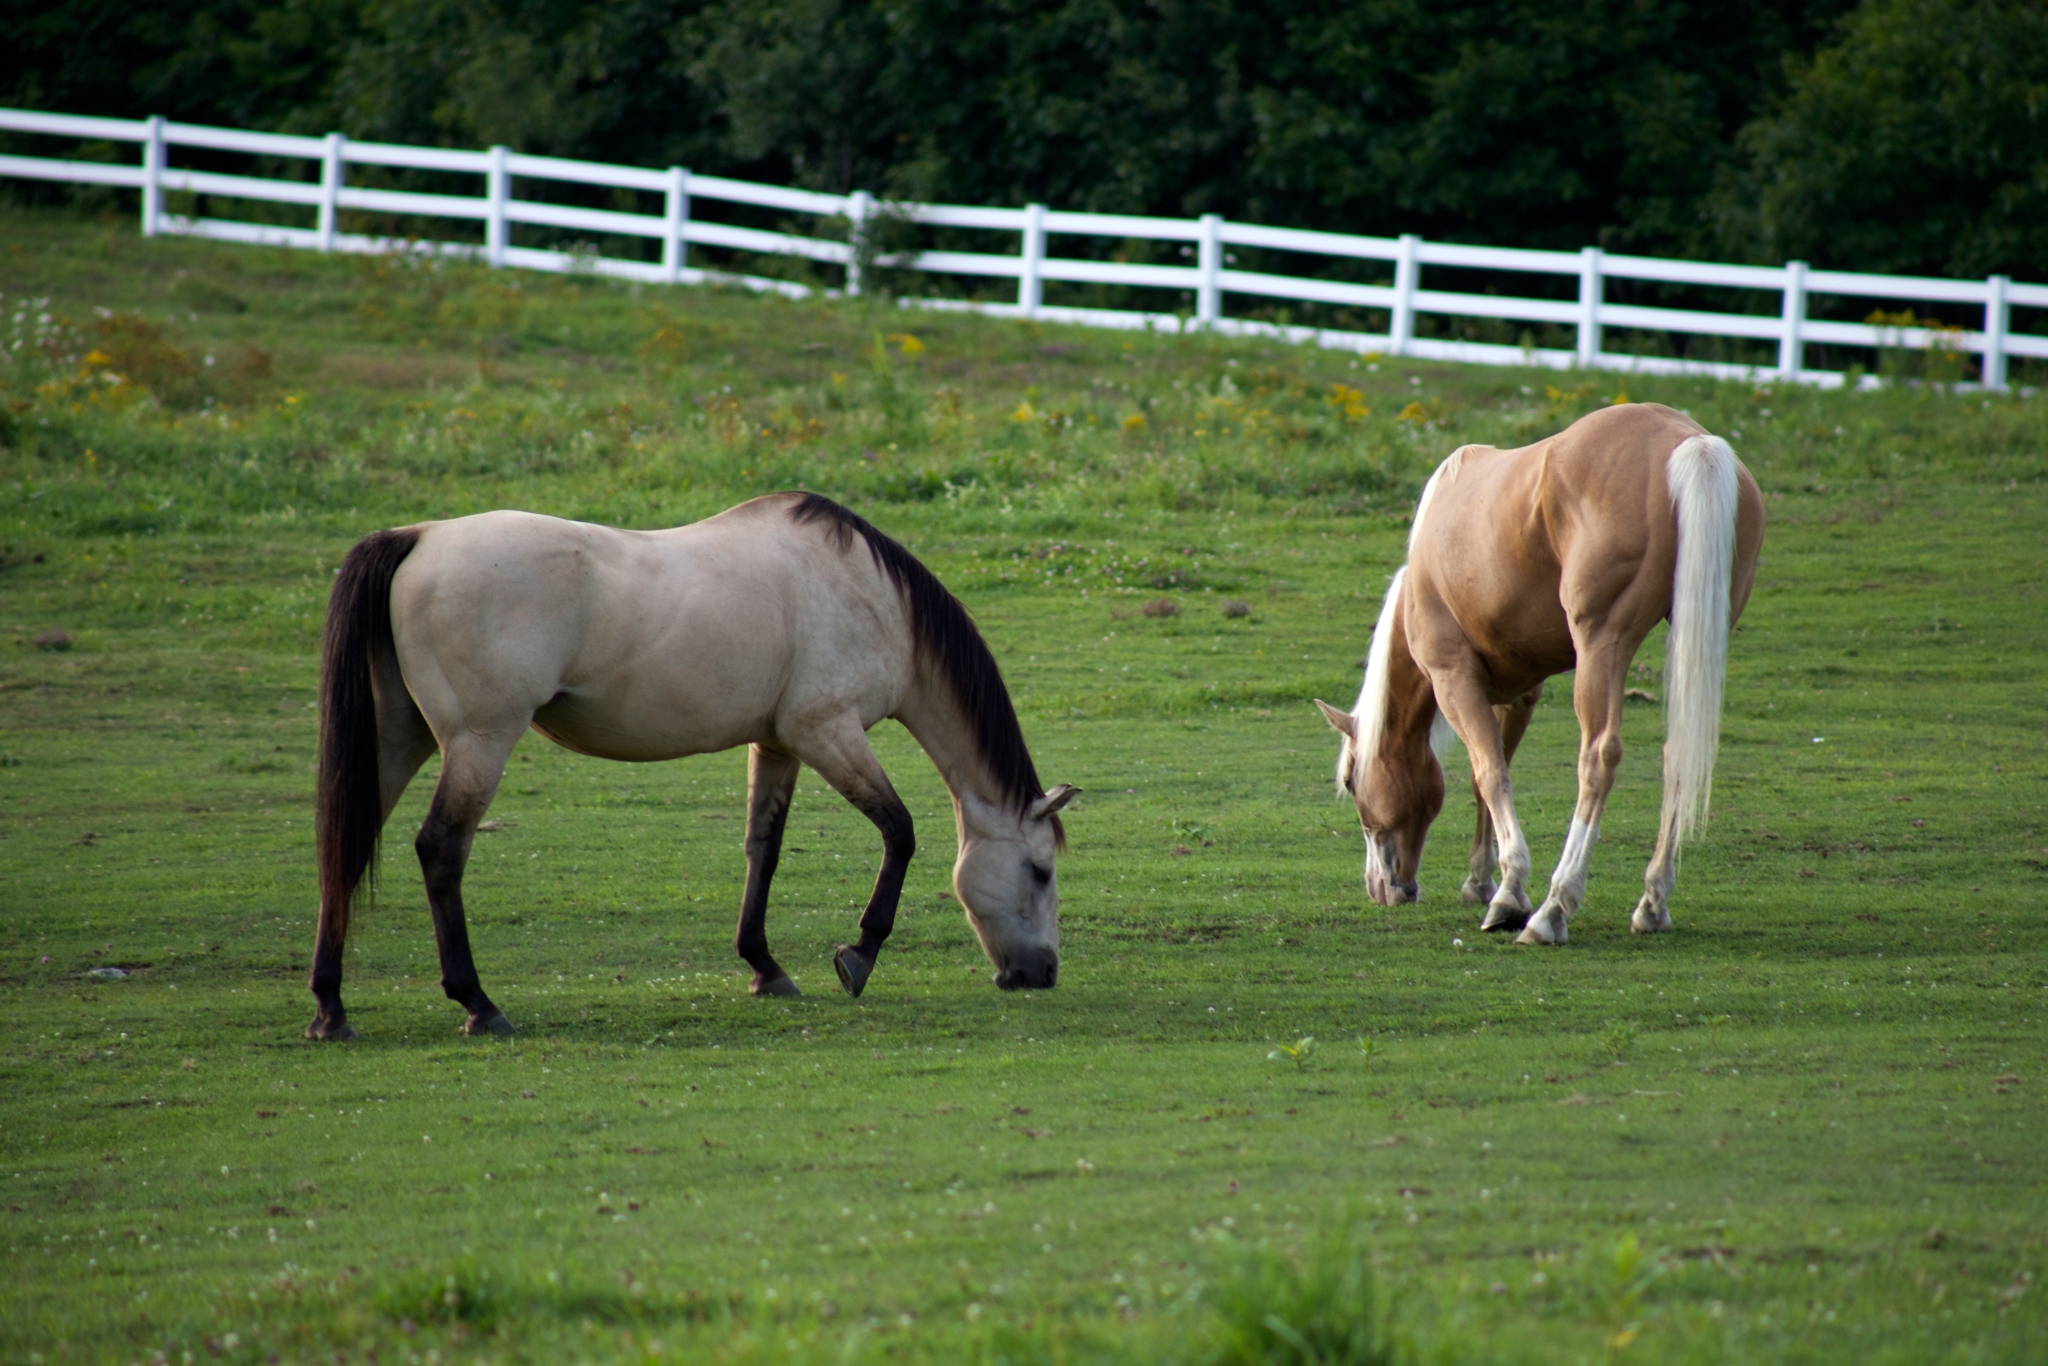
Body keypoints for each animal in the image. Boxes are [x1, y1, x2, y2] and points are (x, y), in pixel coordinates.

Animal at [308, 492, 1076, 1040]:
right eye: (1040, 871)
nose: (1042, 973)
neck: (874, 597)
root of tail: (419, 536)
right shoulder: (827, 732)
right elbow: (900, 831)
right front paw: (858, 954)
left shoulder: (779, 744)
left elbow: (763, 848)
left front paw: (764, 967)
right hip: (478, 742)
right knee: (440, 849)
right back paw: (478, 1003)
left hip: (400, 738)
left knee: (345, 845)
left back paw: (331, 1009)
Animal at [1314, 402, 1764, 944]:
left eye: (1351, 782)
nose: (1381, 888)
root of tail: (1688, 440)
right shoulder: (1518, 692)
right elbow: (1488, 776)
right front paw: (1480, 880)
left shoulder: (1454, 679)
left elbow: (1490, 774)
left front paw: (1509, 895)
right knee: (1678, 754)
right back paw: (1652, 902)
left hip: (1601, 646)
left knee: (1598, 758)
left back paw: (1553, 909)